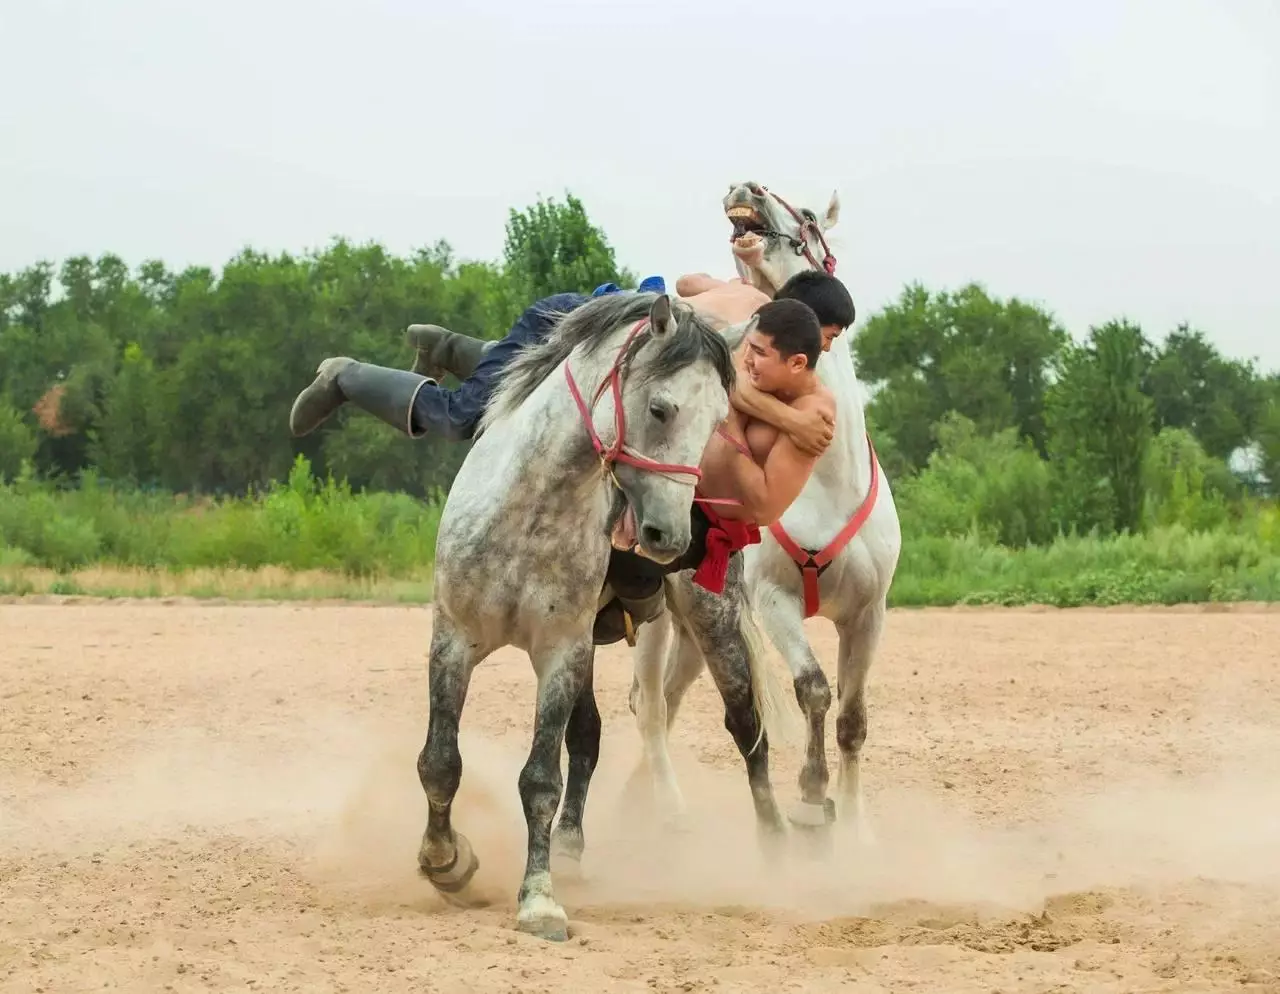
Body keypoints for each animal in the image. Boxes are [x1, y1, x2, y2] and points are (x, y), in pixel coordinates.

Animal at [629, 177, 901, 844]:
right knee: (649, 708)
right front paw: (810, 795)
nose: (744, 187)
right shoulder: (775, 600)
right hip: (655, 619)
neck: (828, 480)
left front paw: (856, 829)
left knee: (669, 700)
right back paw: (666, 808)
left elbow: (853, 719)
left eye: (806, 214)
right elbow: (814, 690)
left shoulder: (869, 614)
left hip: (695, 629)